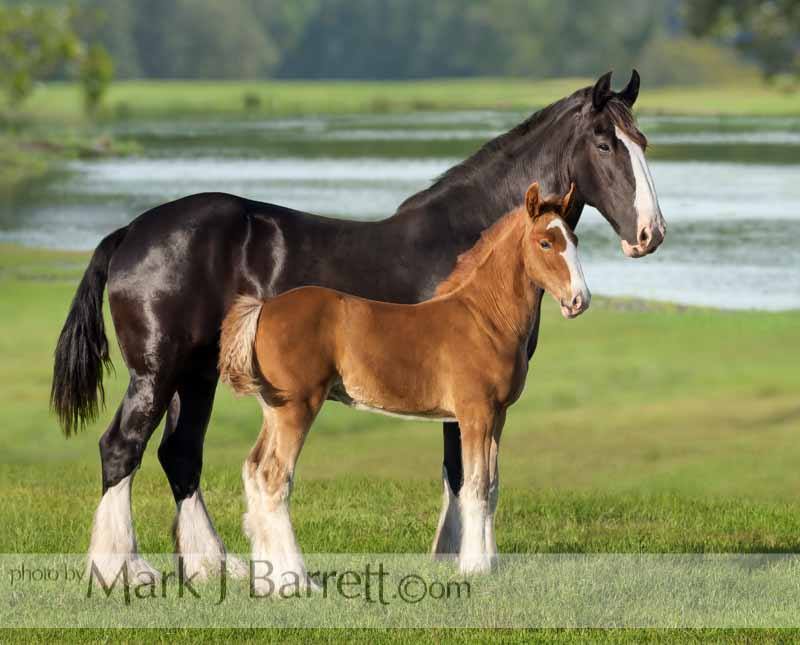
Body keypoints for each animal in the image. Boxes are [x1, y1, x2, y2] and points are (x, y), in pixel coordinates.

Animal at [218, 183, 588, 585]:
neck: (485, 317)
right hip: (297, 407)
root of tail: (264, 307)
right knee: (274, 477)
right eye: (545, 243)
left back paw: (267, 577)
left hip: (274, 409)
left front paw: (491, 563)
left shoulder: (498, 415)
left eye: (575, 240)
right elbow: (474, 486)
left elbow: (491, 487)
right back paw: (297, 581)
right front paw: (474, 568)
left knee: (254, 470)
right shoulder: (475, 413)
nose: (579, 300)